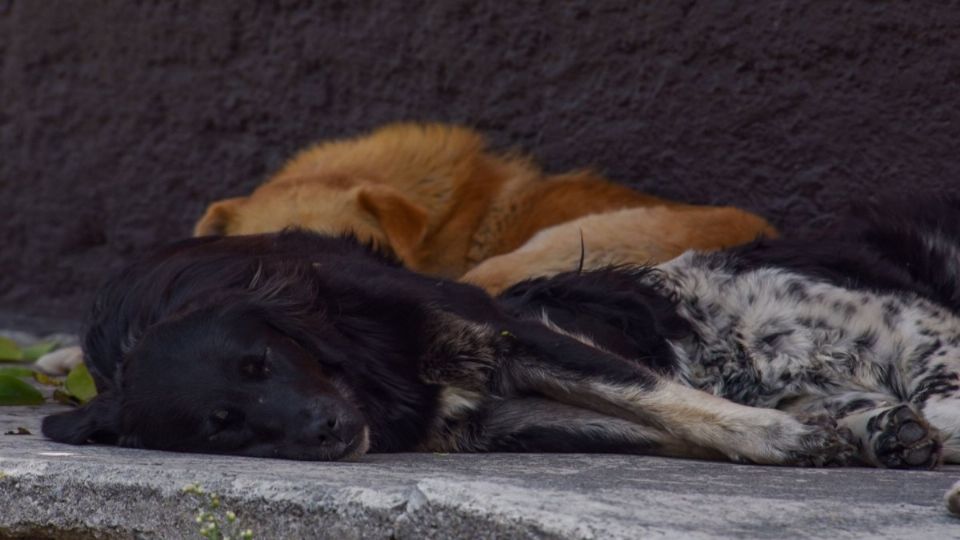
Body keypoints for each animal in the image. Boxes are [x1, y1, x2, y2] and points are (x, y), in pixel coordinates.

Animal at [41, 198, 956, 468]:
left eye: (261, 361)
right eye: (221, 424)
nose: (327, 431)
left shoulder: (504, 330)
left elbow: (667, 397)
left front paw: (779, 435)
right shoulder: (506, 417)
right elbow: (664, 423)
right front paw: (815, 434)